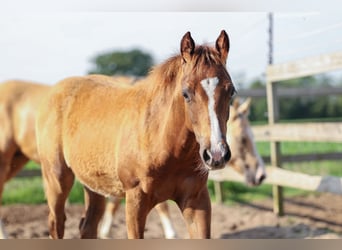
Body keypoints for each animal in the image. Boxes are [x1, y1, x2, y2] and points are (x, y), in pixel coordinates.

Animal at [36, 30, 236, 239]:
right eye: (186, 93)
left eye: (231, 91)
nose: (216, 155)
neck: (163, 143)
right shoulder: (135, 201)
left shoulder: (197, 200)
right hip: (56, 179)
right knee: (56, 223)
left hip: (93, 185)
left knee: (88, 226)